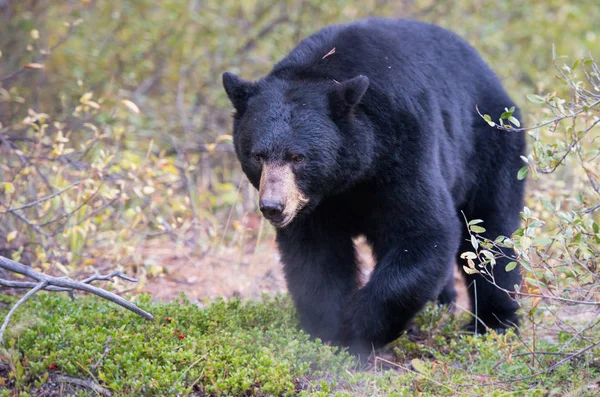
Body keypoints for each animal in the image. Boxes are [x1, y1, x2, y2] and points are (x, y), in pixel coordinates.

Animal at [221, 17, 524, 354]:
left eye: (297, 157)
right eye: (257, 156)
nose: (273, 207)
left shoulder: (403, 148)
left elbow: (425, 230)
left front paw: (358, 325)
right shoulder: (314, 204)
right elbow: (315, 255)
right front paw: (328, 330)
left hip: (488, 146)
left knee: (491, 231)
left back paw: (494, 322)